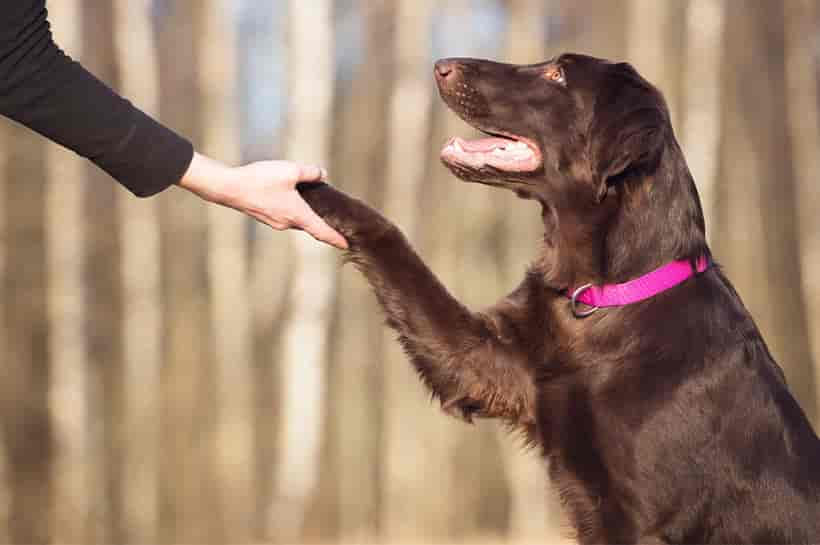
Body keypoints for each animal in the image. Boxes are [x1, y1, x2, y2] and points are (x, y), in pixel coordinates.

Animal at [298, 54, 820, 544]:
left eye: (557, 75)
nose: (441, 66)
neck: (603, 296)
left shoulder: (643, 519)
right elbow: (393, 242)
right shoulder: (486, 363)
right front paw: (308, 186)